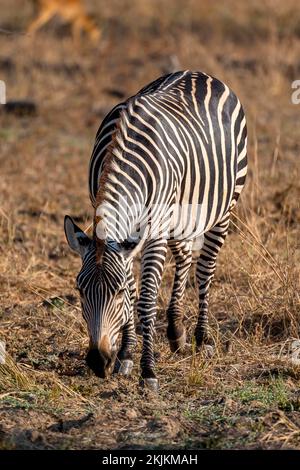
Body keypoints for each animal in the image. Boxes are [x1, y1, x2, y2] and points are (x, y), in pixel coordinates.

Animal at [64, 70, 247, 392]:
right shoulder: (127, 235)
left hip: (224, 207)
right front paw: (125, 355)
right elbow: (135, 292)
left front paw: (147, 371)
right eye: (80, 290)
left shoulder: (154, 232)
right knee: (185, 257)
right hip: (180, 219)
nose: (98, 362)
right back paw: (176, 331)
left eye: (116, 291)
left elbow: (146, 298)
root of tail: (199, 73)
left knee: (205, 270)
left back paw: (202, 338)